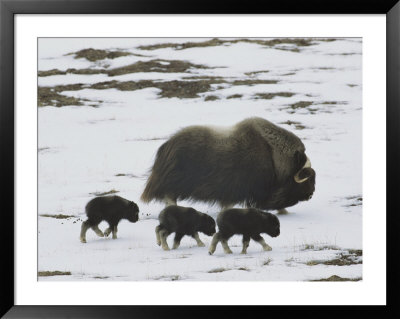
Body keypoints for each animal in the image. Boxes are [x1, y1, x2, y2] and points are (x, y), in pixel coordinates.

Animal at [141, 117, 316, 212]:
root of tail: (167, 146)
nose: (311, 194)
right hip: (174, 183)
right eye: (307, 177)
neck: (275, 157)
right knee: (170, 197)